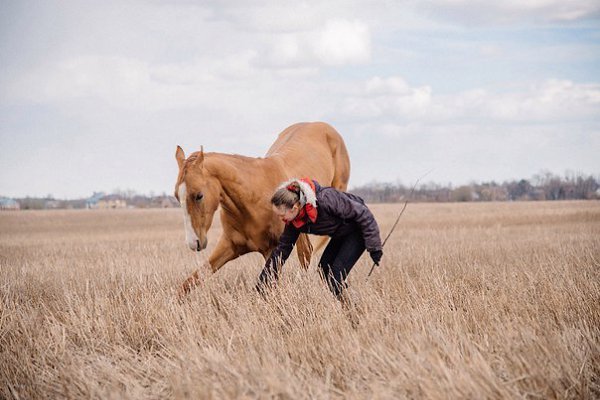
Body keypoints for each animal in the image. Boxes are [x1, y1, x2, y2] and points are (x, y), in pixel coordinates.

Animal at [173, 121, 352, 294]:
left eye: (199, 195)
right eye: (176, 195)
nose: (194, 243)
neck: (253, 201)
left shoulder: (273, 251)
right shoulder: (229, 247)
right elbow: (187, 285)